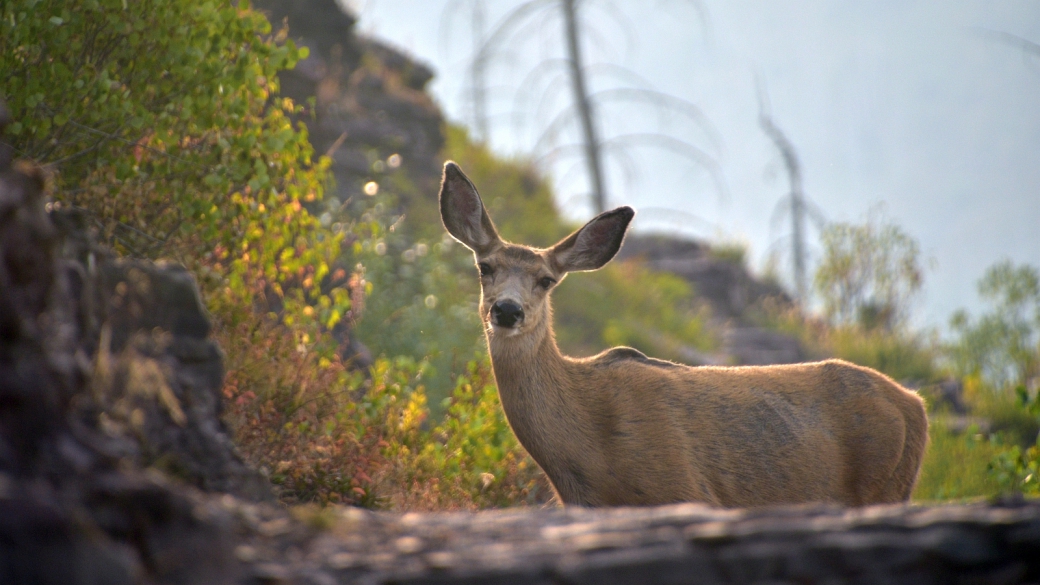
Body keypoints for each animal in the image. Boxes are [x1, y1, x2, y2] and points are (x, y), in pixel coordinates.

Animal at [436, 160, 927, 505]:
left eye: (545, 280)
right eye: (485, 267)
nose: (507, 310)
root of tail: (915, 405)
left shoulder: (686, 487)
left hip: (885, 486)